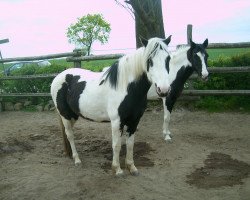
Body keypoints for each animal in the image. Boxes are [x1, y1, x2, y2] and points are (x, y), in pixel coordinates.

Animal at [50, 36, 172, 177]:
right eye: (149, 60)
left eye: (168, 59)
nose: (164, 90)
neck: (127, 88)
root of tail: (58, 77)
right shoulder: (116, 121)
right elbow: (117, 145)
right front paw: (117, 169)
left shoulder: (134, 121)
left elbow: (130, 144)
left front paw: (132, 167)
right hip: (65, 114)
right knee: (69, 134)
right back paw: (77, 159)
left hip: (73, 115)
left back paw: (70, 154)